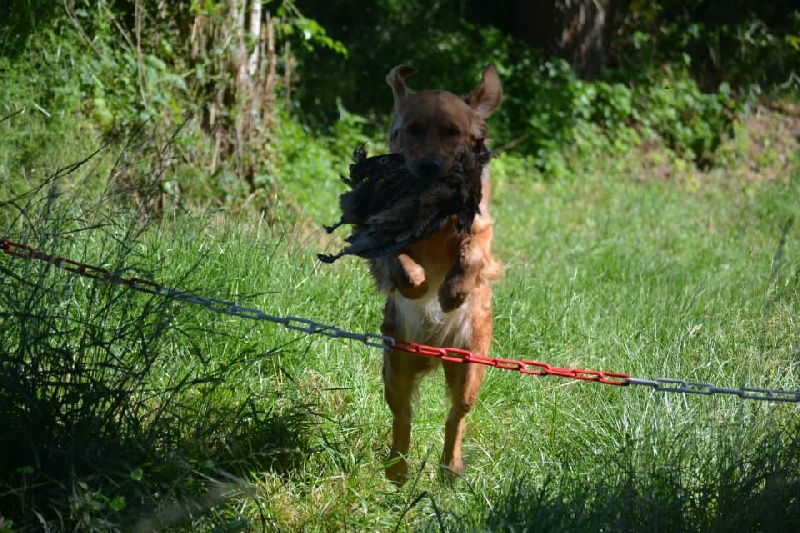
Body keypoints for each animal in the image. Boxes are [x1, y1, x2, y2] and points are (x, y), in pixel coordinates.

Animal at [368, 62, 500, 482]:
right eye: (413, 129)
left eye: (452, 132)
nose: (429, 166)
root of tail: (434, 347)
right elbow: (395, 258)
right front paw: (415, 283)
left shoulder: (480, 226)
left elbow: (471, 253)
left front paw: (452, 291)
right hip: (395, 364)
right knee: (402, 417)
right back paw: (397, 470)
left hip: (469, 367)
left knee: (456, 418)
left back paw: (450, 467)